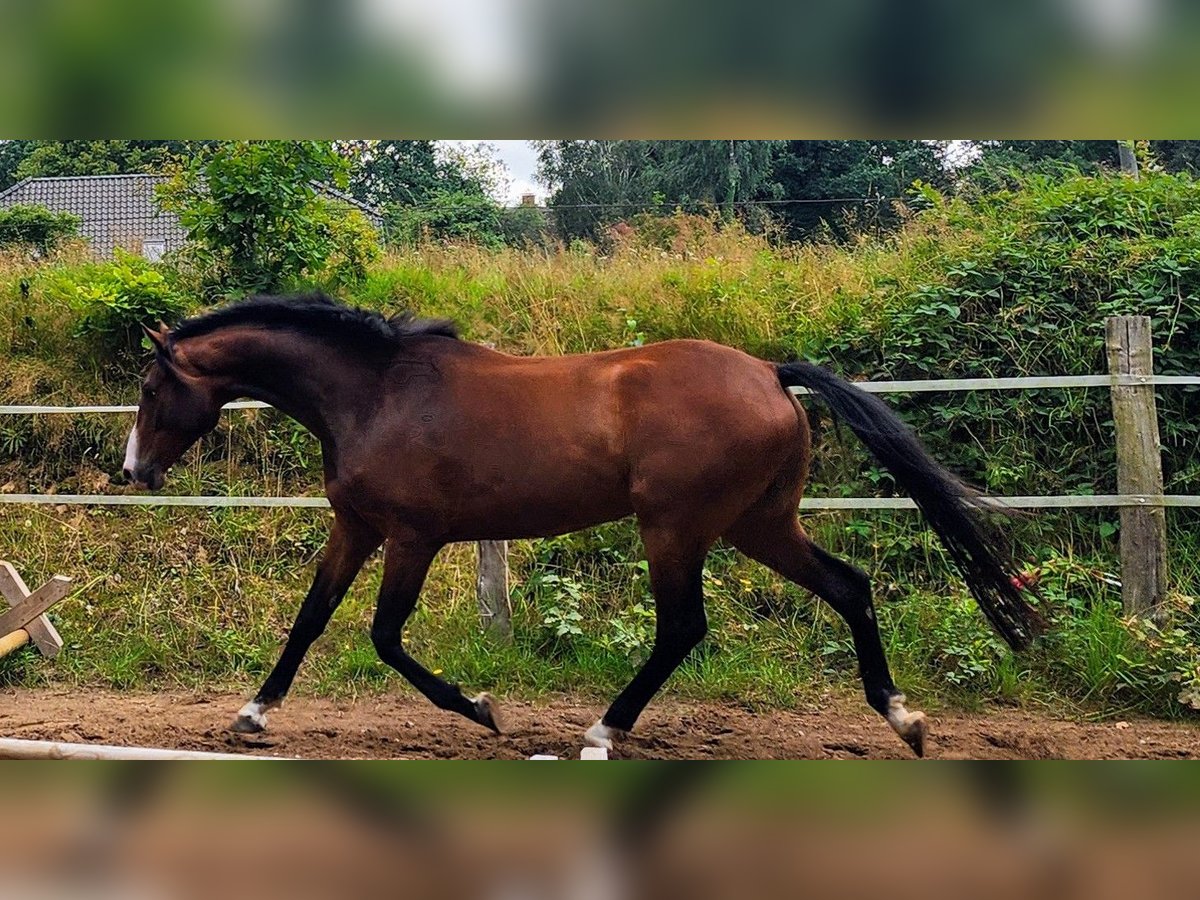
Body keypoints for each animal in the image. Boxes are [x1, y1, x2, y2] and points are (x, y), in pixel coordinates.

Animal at [121, 292, 1041, 758]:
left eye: (151, 387)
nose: (130, 472)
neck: (374, 393)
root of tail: (769, 374)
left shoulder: (413, 536)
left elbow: (383, 636)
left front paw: (483, 708)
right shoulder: (358, 527)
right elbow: (311, 619)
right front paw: (250, 716)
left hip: (675, 527)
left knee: (683, 627)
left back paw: (602, 731)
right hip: (758, 525)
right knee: (850, 588)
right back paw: (903, 719)